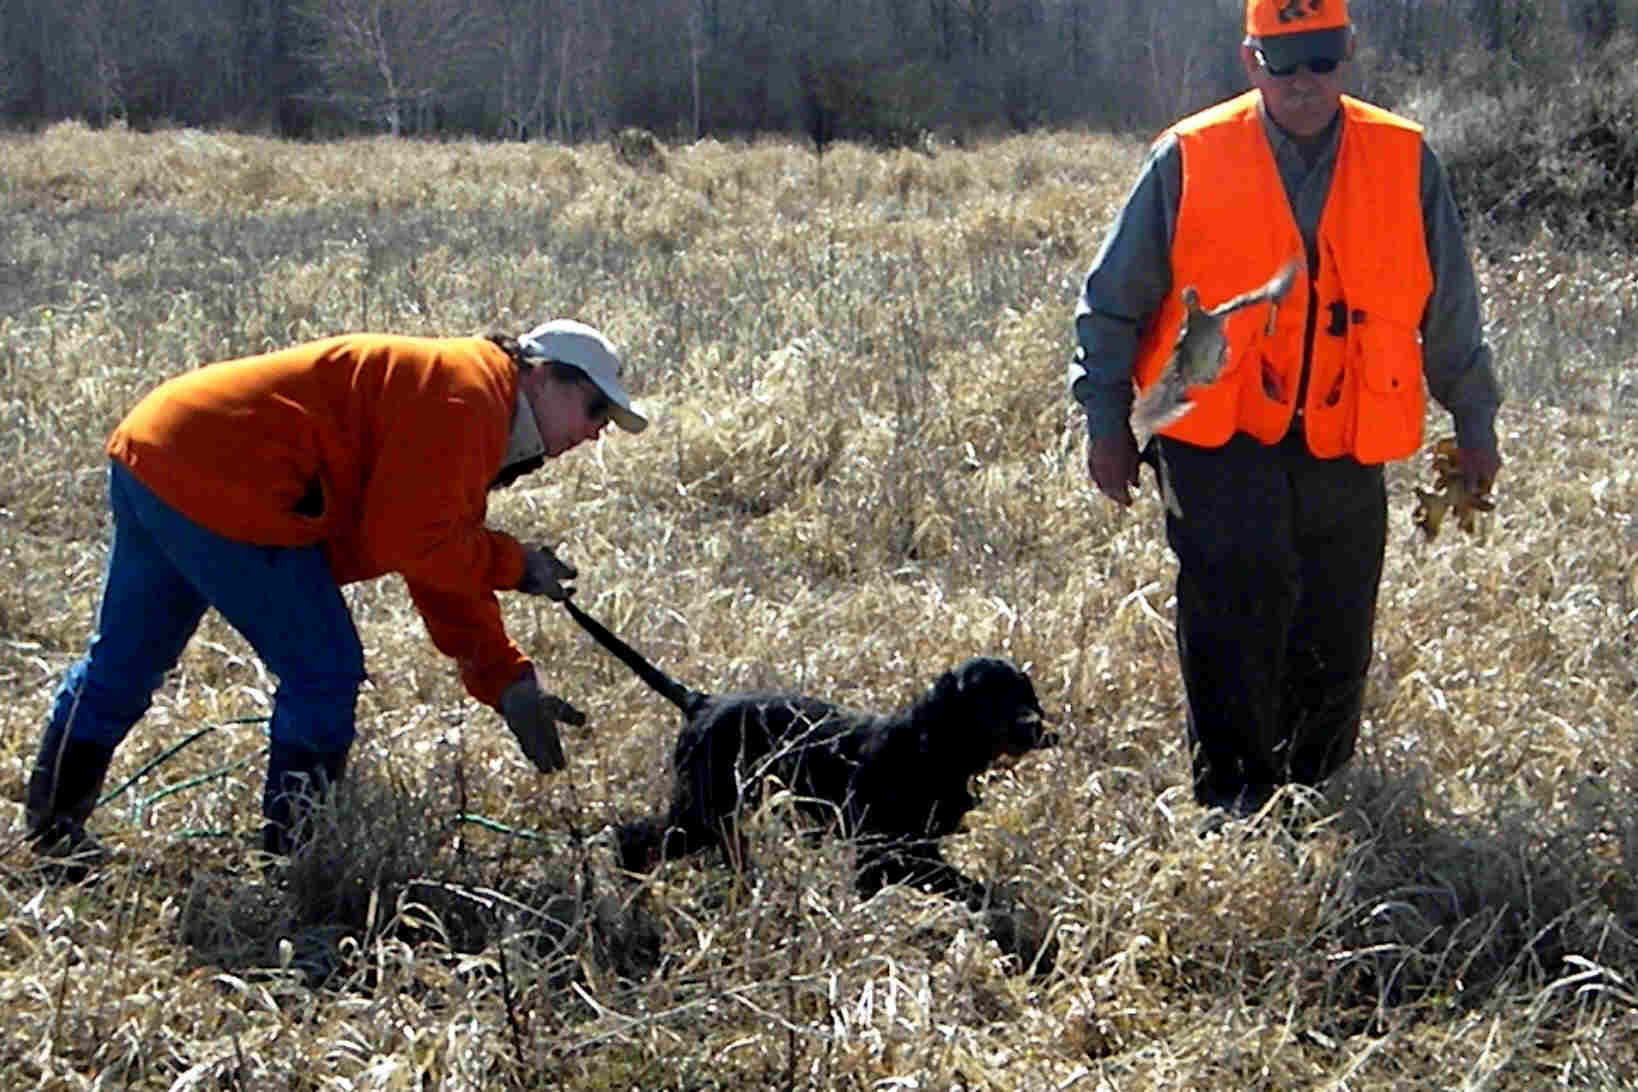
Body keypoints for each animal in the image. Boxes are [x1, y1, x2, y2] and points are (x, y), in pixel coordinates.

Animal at [563, 602, 1054, 910]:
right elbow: (967, 890)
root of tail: (701, 702)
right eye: (985, 697)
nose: (1036, 727)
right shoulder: (881, 855)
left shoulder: (912, 851)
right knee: (632, 840)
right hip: (705, 812)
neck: (931, 751)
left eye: (1022, 691)